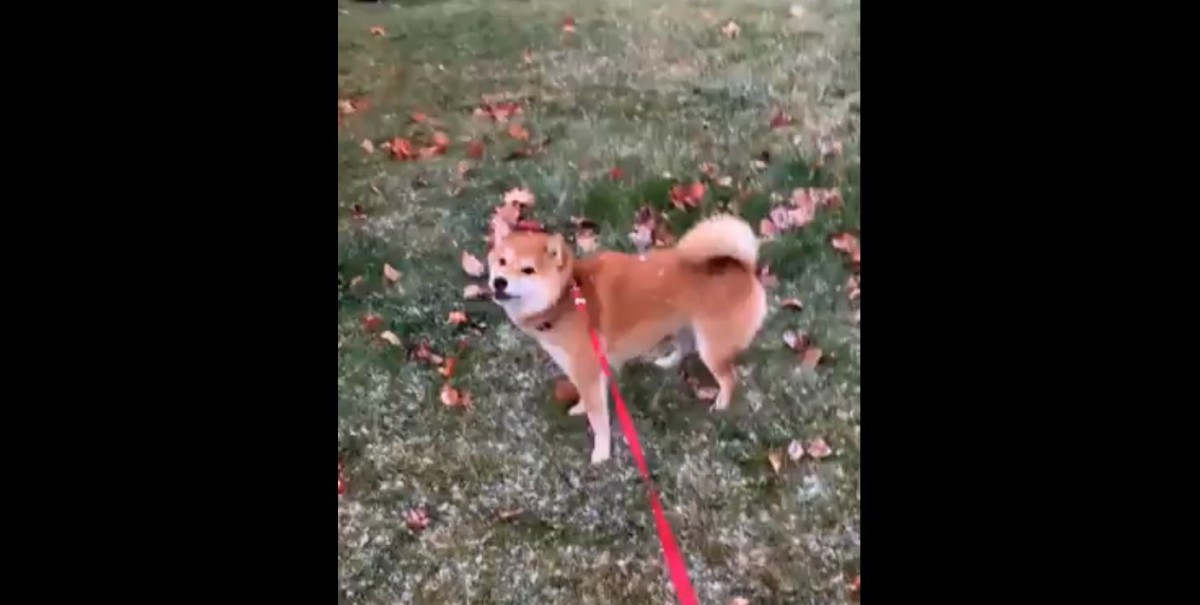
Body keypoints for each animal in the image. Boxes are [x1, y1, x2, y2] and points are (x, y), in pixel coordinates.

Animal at [487, 213, 768, 463]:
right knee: (685, 347)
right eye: (501, 261)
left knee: (729, 378)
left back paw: (720, 404)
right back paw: (667, 362)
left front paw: (601, 453)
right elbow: (586, 399)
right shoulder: (585, 370)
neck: (566, 298)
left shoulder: (588, 371)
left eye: (528, 270)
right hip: (683, 326)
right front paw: (580, 408)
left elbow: (598, 419)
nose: (499, 282)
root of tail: (743, 266)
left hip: (711, 347)